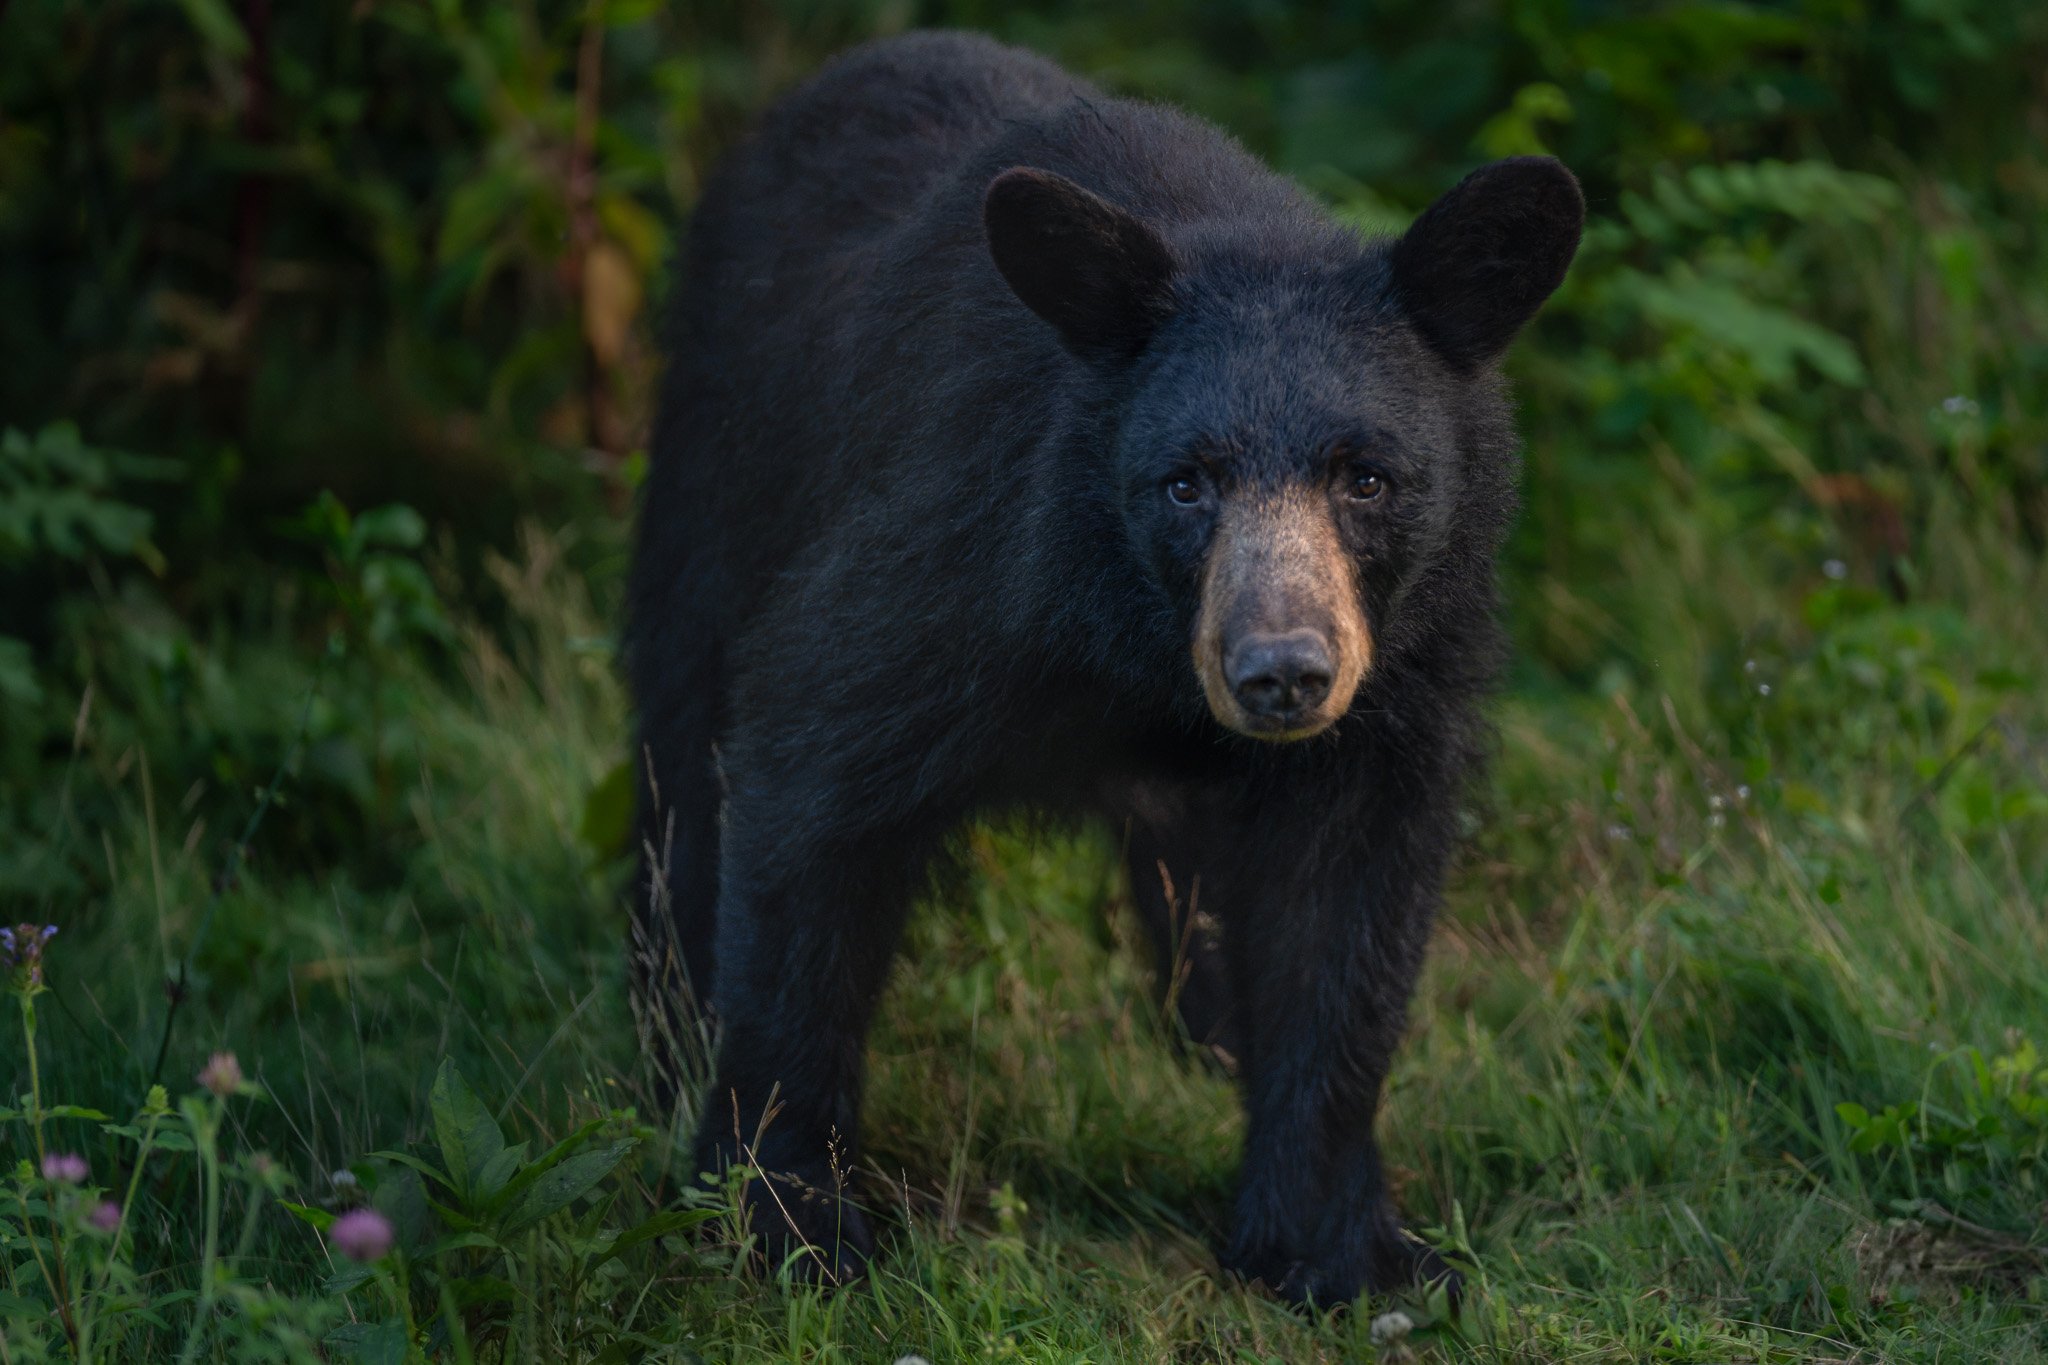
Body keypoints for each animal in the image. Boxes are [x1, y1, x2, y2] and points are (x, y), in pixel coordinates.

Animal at [626, 29, 1581, 1307]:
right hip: (713, 473)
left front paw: (1340, 1246)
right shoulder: (959, 563)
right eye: (1183, 483)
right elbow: (810, 794)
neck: (1134, 644)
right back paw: (660, 1024)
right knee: (679, 747)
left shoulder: (1400, 675)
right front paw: (789, 1217)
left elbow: (1344, 923)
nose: (1282, 674)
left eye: (1365, 477)